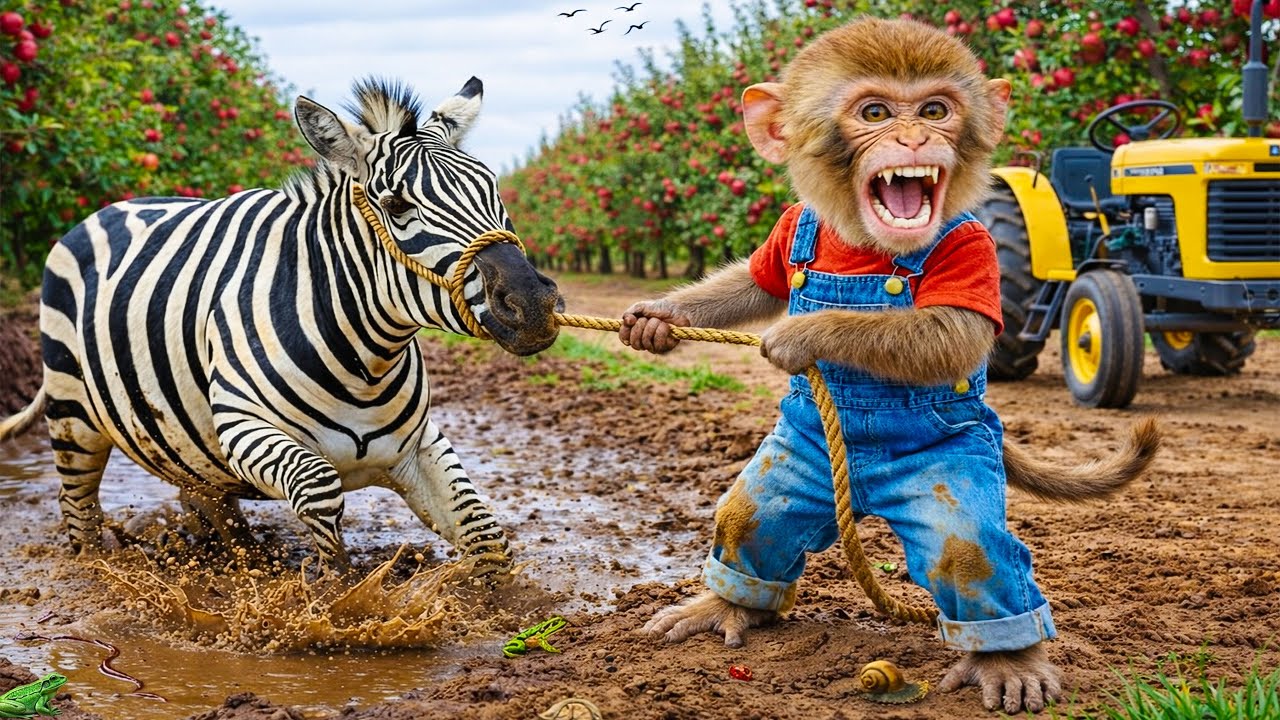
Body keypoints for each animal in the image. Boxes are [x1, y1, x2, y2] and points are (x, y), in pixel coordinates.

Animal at [618, 17, 1161, 715]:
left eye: (935, 110)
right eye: (874, 113)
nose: (915, 138)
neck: (861, 244)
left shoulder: (974, 244)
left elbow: (953, 335)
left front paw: (798, 334)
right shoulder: (791, 226)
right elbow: (757, 282)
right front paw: (656, 318)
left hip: (954, 467)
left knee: (972, 553)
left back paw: (1009, 661)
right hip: (802, 460)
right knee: (752, 520)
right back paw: (723, 605)